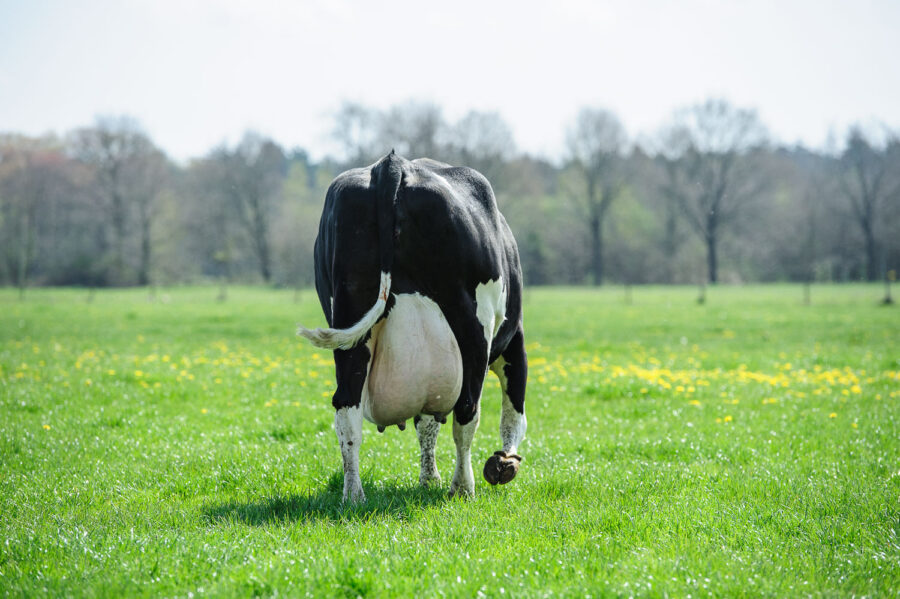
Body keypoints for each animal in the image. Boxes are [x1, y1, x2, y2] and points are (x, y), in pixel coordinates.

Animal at [298, 150, 528, 502]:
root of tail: (393, 164)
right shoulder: (513, 338)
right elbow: (513, 411)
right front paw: (504, 464)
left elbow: (427, 423)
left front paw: (429, 477)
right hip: (472, 326)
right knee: (467, 412)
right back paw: (463, 487)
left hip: (350, 322)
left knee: (346, 410)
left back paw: (353, 494)